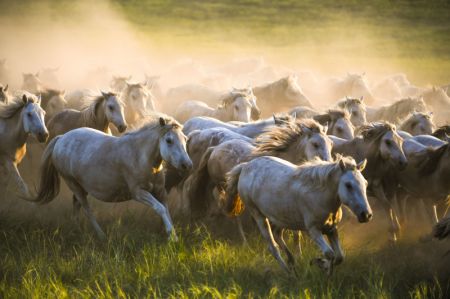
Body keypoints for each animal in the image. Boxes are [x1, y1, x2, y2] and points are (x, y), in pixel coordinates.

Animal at [32, 116, 192, 241]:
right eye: (169, 140)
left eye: (185, 139)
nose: (187, 165)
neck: (140, 156)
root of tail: (61, 139)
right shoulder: (139, 193)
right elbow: (160, 209)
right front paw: (172, 237)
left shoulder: (160, 192)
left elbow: (166, 211)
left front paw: (173, 234)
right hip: (72, 184)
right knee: (87, 209)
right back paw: (101, 235)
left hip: (81, 186)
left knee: (76, 205)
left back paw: (76, 229)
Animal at [223, 156, 370, 276]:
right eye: (348, 185)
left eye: (365, 183)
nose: (366, 215)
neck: (319, 194)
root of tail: (245, 166)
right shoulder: (313, 230)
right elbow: (330, 253)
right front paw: (321, 265)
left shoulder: (331, 229)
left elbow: (339, 256)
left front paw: (323, 265)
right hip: (259, 215)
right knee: (273, 247)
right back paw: (289, 273)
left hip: (281, 217)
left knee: (278, 234)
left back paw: (292, 261)